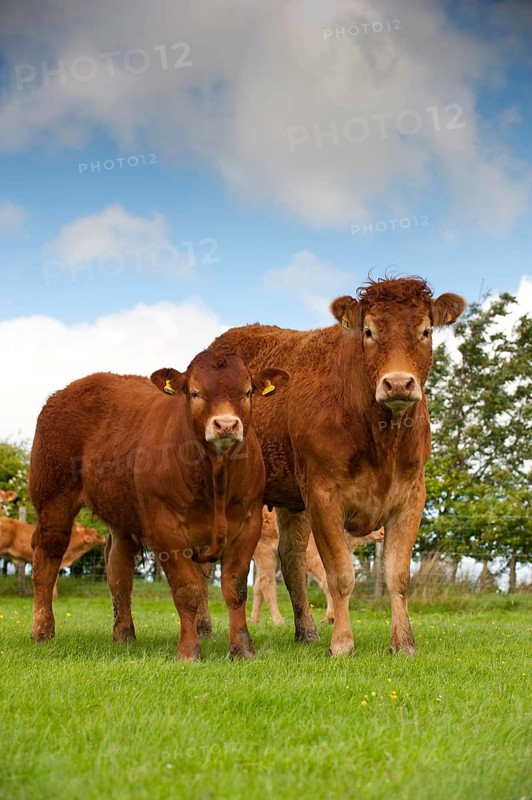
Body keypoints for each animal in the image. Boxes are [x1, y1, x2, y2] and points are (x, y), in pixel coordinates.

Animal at [29, 349, 289, 660]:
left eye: (247, 391)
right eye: (195, 392)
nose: (226, 425)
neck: (216, 478)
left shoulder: (250, 523)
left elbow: (235, 588)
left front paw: (242, 649)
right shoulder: (166, 528)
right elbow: (187, 590)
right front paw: (189, 650)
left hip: (121, 514)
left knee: (119, 570)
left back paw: (124, 635)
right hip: (53, 500)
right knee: (46, 562)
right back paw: (42, 631)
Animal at [250, 508, 384, 626]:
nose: (382, 533)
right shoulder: (314, 559)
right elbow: (328, 582)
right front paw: (330, 617)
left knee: (258, 587)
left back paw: (254, 621)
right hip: (266, 554)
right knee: (267, 586)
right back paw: (279, 621)